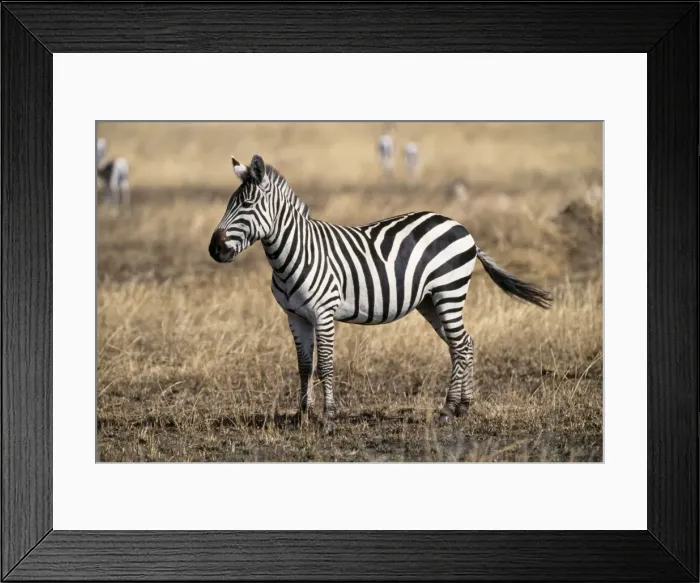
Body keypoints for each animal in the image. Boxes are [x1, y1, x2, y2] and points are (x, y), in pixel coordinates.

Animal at [209, 154, 552, 432]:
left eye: (247, 205)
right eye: (228, 204)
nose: (214, 249)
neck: (296, 253)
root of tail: (460, 226)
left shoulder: (324, 313)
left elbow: (325, 365)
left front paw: (328, 419)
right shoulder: (295, 317)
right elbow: (304, 366)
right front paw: (301, 417)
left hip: (449, 291)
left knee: (461, 345)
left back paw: (448, 410)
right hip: (430, 301)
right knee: (463, 344)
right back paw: (461, 408)